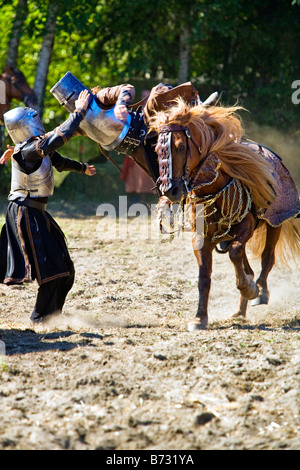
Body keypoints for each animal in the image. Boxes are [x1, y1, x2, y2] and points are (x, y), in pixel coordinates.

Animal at [149, 97, 300, 328]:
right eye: (158, 150)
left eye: (181, 146)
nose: (170, 191)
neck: (214, 189)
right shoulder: (201, 238)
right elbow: (204, 277)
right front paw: (200, 317)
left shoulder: (246, 224)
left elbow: (236, 253)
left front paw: (250, 288)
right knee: (248, 264)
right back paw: (239, 312)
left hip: (275, 221)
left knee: (267, 258)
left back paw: (261, 292)